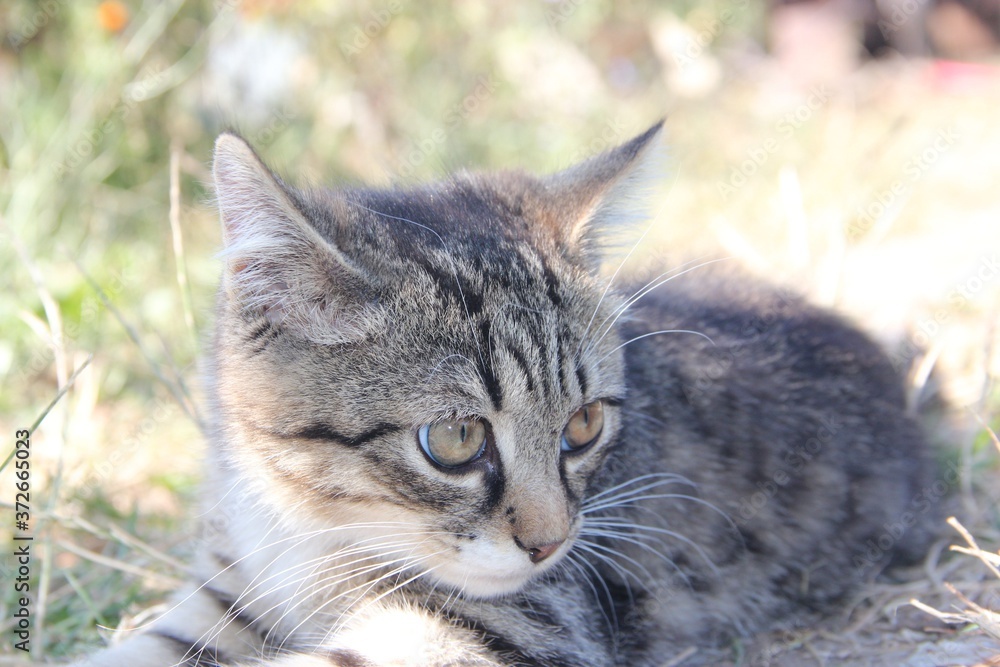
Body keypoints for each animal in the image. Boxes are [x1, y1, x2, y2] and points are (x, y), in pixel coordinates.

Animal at [72, 122, 936, 664]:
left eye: (583, 424)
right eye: (455, 439)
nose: (550, 544)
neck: (310, 530)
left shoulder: (513, 623)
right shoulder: (230, 590)